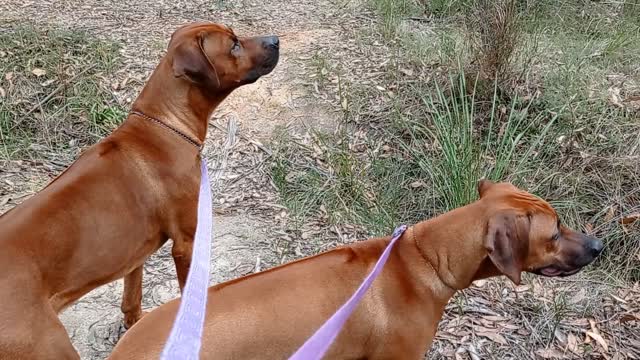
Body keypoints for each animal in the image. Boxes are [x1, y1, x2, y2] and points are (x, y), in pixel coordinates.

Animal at [0, 23, 280, 360]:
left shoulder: (134, 256)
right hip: (50, 346)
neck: (165, 125)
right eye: (234, 45)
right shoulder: (187, 242)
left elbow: (132, 298)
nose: (276, 40)